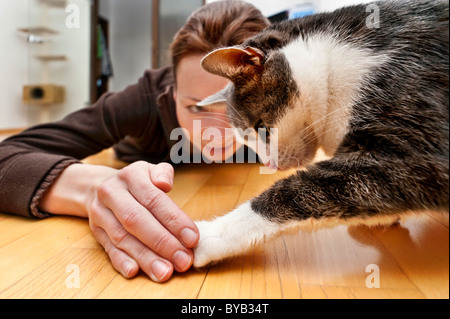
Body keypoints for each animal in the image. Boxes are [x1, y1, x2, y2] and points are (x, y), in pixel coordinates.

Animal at [192, 0, 448, 268]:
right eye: (246, 140)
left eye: (262, 128)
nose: (269, 165)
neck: (335, 63)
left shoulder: (409, 153)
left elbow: (296, 190)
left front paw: (207, 236)